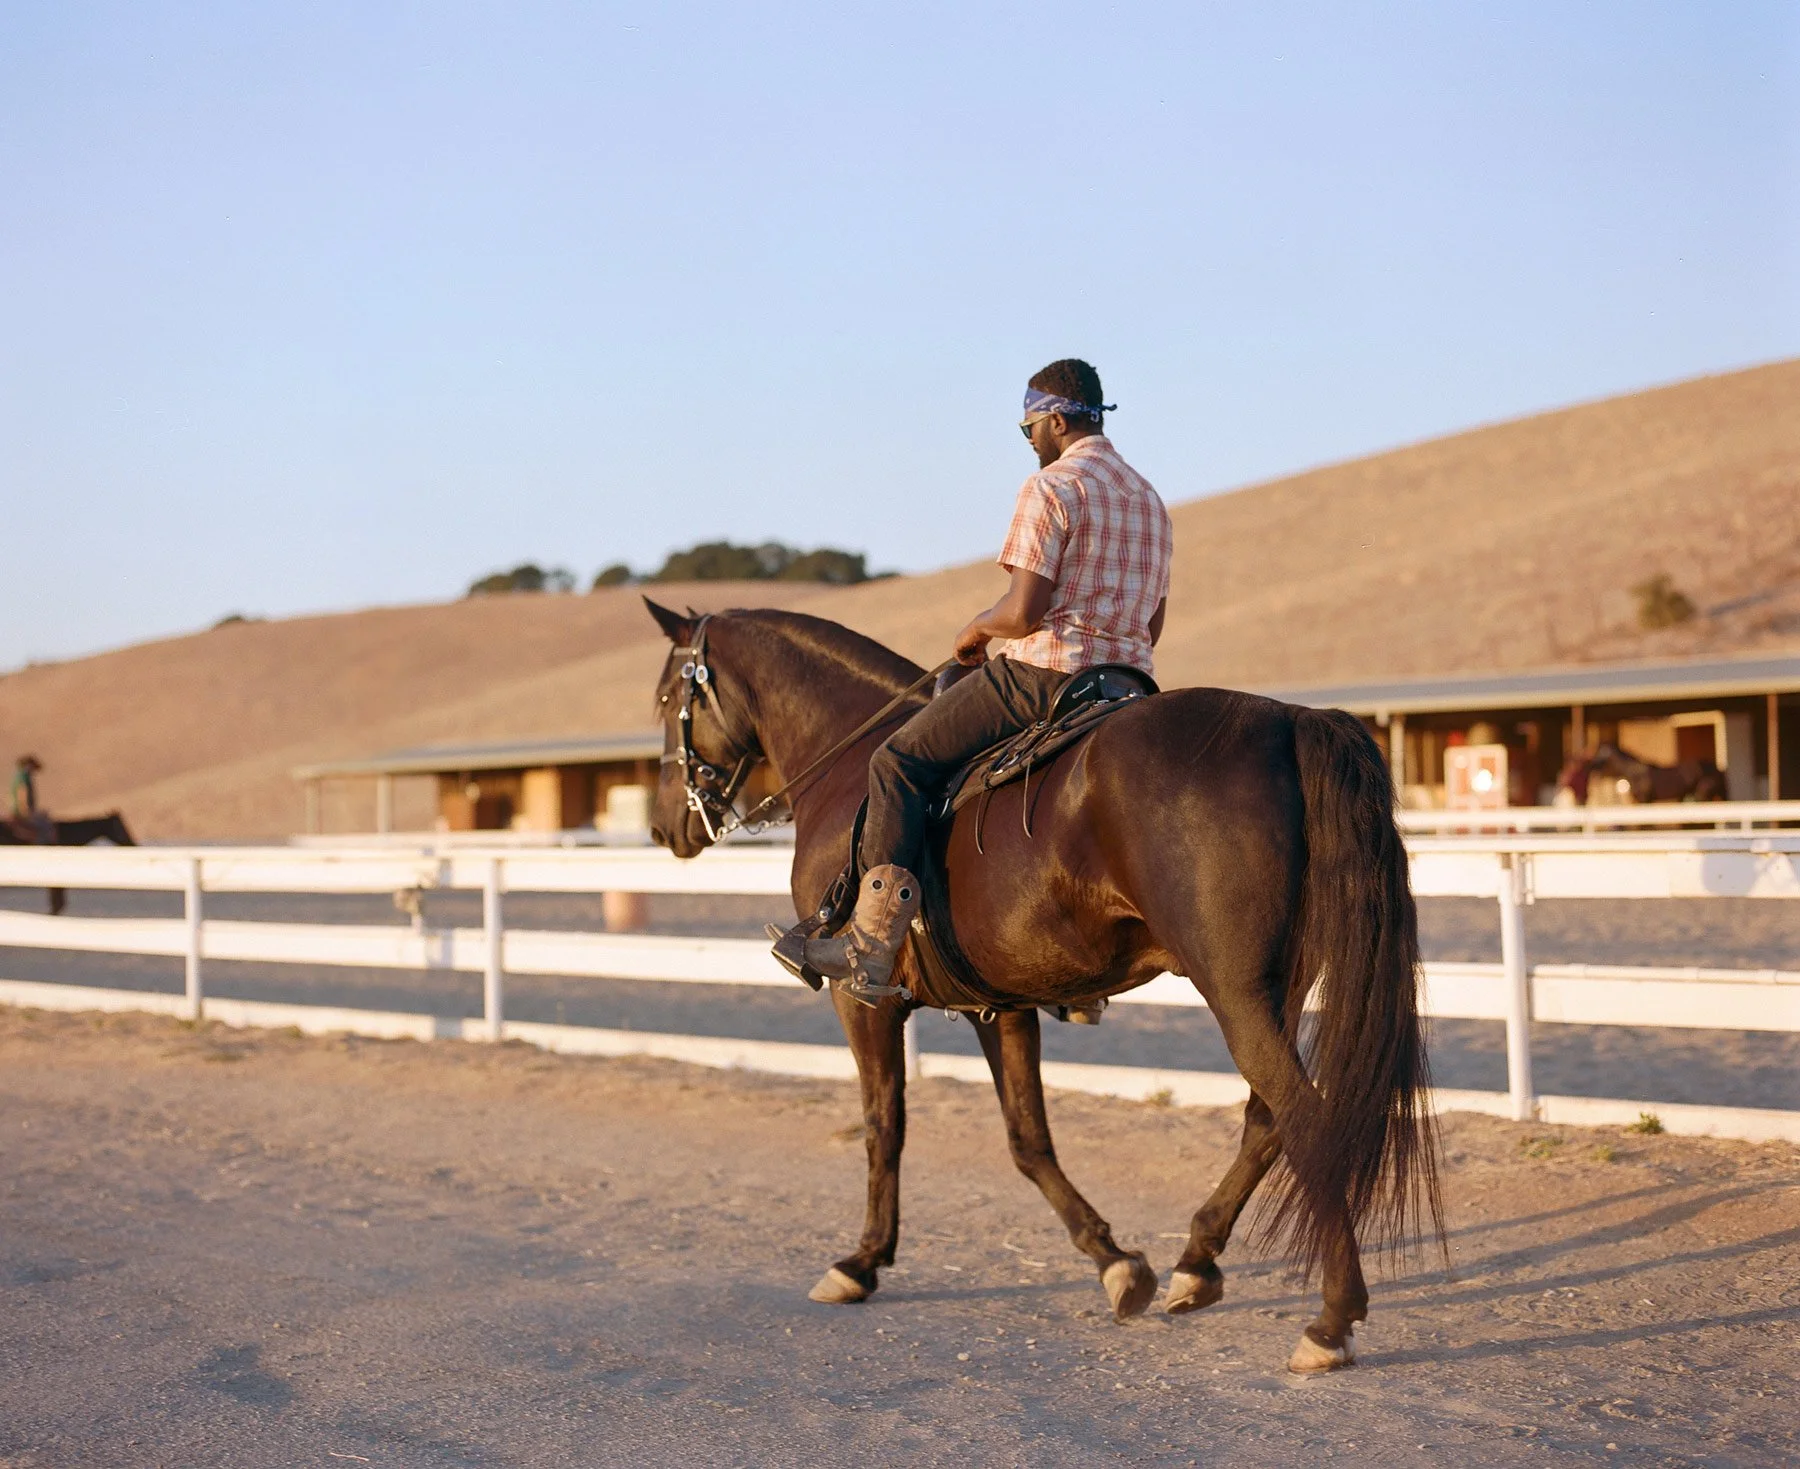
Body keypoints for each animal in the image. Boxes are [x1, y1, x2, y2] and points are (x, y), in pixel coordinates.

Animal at [644, 600, 1441, 1375]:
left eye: (668, 696)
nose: (663, 826)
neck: (844, 767)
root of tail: (1288, 721)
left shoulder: (861, 1000)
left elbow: (883, 1124)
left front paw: (861, 1261)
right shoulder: (999, 1005)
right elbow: (1028, 1140)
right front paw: (1118, 1263)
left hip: (1236, 991)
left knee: (1304, 1117)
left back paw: (1331, 1321)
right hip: (1276, 989)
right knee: (1267, 1117)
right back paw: (1195, 1262)